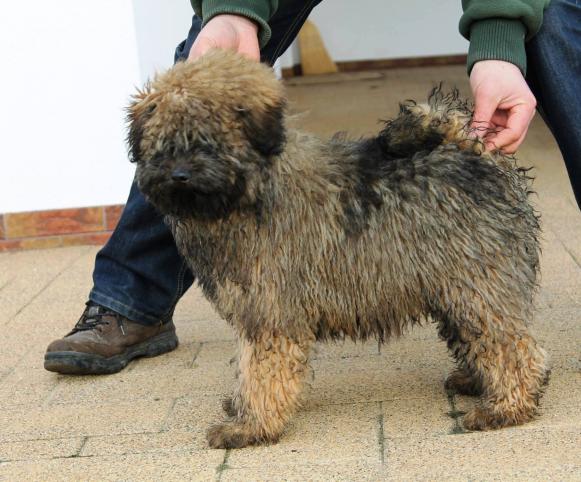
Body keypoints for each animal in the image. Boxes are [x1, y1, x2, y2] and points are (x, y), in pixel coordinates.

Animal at [128, 49, 548, 448]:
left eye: (208, 141)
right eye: (163, 143)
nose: (179, 175)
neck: (251, 192)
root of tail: (475, 153)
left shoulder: (271, 314)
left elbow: (261, 373)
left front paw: (252, 426)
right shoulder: (256, 312)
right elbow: (249, 368)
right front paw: (243, 409)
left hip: (478, 285)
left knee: (513, 348)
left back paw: (506, 407)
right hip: (456, 289)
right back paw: (476, 382)